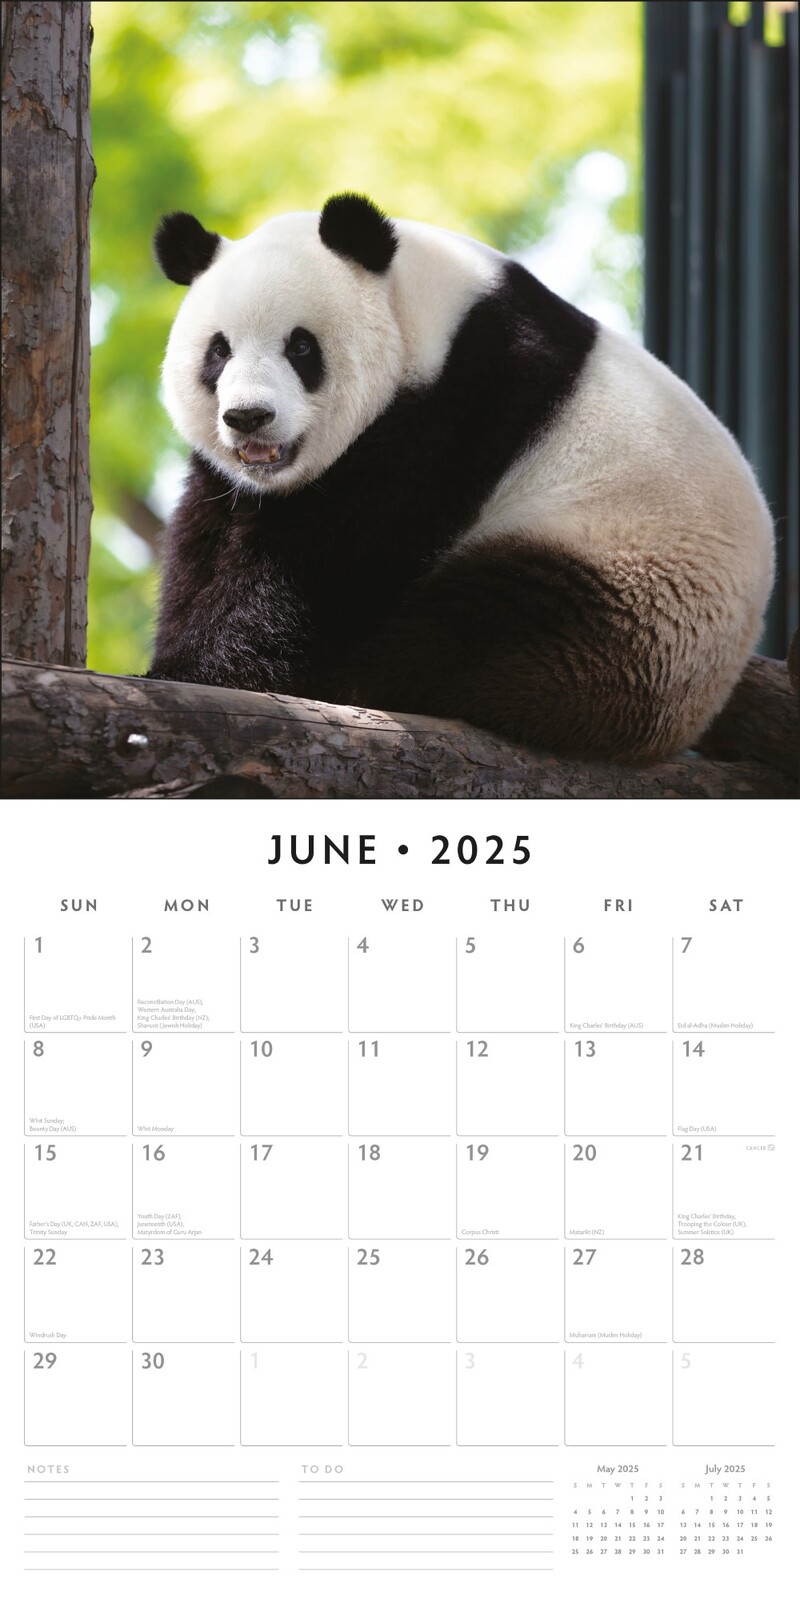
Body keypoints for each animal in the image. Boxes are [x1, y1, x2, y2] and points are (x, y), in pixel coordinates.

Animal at [149, 192, 773, 763]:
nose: (249, 416)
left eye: (301, 346)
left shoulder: (460, 403)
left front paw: (203, 671)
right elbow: (206, 538)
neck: (418, 305)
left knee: (481, 632)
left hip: (622, 587)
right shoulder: (232, 482)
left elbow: (328, 562)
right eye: (219, 351)